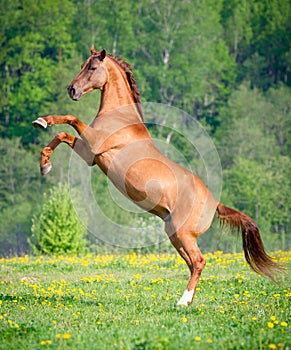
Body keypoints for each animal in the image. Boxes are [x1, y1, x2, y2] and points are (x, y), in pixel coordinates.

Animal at [32, 47, 282, 306]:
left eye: (92, 67)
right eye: (82, 65)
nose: (72, 89)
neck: (120, 118)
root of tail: (215, 203)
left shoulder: (92, 145)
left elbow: (70, 120)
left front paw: (42, 123)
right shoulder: (88, 153)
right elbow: (62, 134)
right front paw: (44, 163)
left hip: (184, 234)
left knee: (199, 261)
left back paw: (182, 301)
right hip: (175, 236)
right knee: (192, 264)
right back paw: (187, 301)